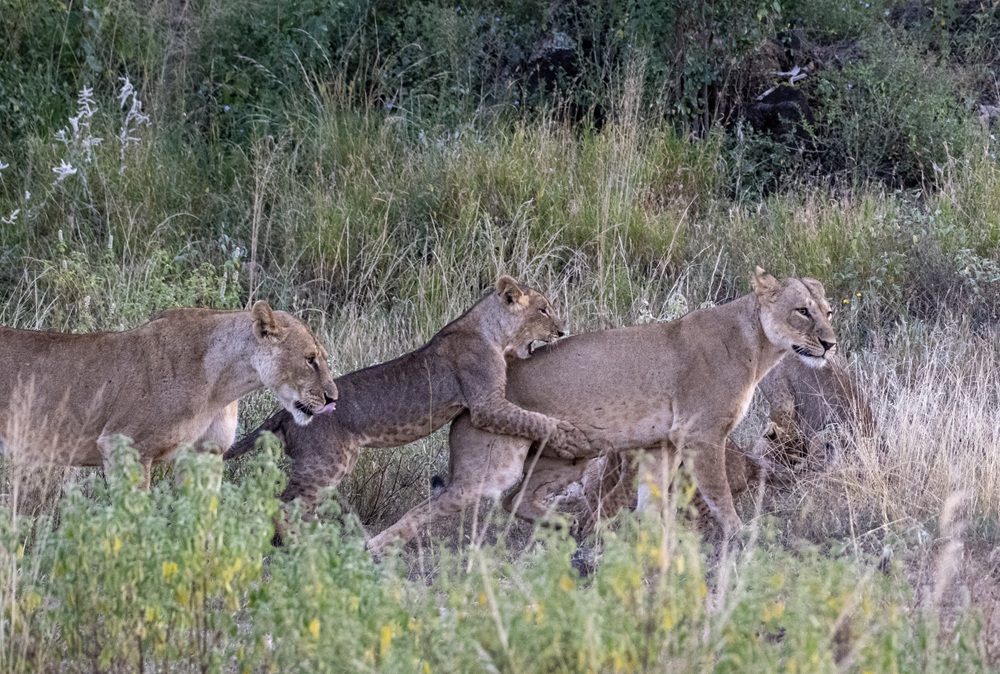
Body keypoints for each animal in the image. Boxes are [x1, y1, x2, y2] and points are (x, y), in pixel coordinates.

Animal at [0, 301, 337, 488]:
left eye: (323, 357)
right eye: (310, 359)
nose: (333, 398)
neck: (223, 385)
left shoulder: (206, 454)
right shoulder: (124, 446)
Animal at [225, 276, 597, 518]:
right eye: (544, 310)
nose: (562, 330)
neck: (491, 330)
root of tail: (286, 413)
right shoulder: (486, 405)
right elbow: (533, 418)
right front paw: (572, 437)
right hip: (323, 466)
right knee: (283, 504)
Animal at [367, 268, 837, 553]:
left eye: (829, 311)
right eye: (802, 311)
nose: (831, 344)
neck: (759, 347)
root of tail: (472, 400)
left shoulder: (662, 444)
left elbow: (654, 503)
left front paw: (653, 542)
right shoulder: (701, 435)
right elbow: (719, 493)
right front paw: (741, 536)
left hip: (567, 456)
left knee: (517, 500)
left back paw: (570, 525)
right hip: (493, 466)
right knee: (434, 506)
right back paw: (373, 549)